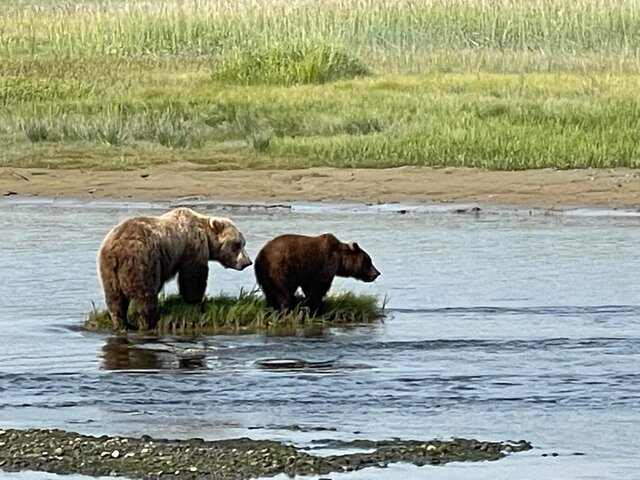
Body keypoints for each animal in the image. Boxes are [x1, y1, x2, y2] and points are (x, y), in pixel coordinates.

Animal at [97, 208, 252, 332]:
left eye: (243, 243)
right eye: (237, 244)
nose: (247, 262)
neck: (206, 235)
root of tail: (116, 249)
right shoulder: (192, 246)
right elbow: (193, 277)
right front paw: (195, 302)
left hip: (109, 271)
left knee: (115, 299)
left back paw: (123, 324)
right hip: (141, 260)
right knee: (145, 295)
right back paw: (150, 322)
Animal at [252, 232, 380, 316]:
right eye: (368, 261)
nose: (377, 273)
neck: (339, 260)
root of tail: (260, 255)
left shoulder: (307, 273)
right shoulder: (323, 265)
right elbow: (317, 289)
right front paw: (318, 310)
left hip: (265, 275)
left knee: (270, 293)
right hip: (280, 268)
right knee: (284, 293)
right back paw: (287, 311)